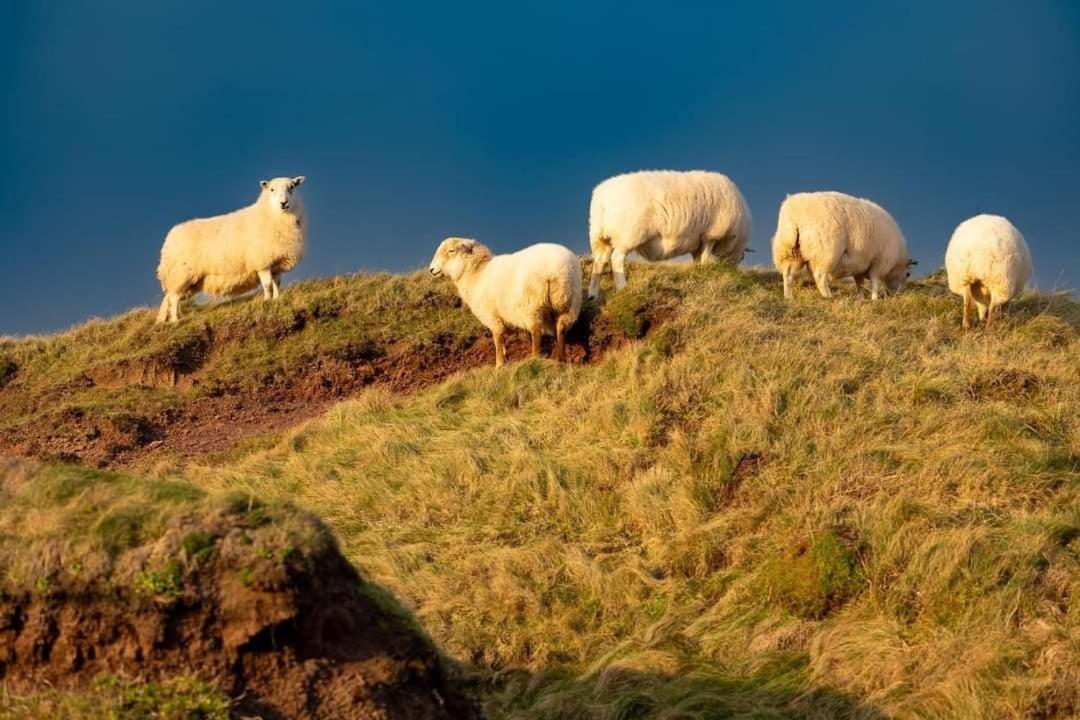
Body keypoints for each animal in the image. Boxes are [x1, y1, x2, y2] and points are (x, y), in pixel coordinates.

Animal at [152, 174, 306, 323]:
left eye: (292, 187)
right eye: (272, 189)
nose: (283, 203)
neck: (271, 216)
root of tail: (168, 240)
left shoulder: (276, 263)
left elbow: (277, 284)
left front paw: (277, 299)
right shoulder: (262, 262)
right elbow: (268, 285)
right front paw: (267, 301)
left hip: (185, 279)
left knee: (169, 297)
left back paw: (164, 320)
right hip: (181, 273)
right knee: (173, 298)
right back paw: (174, 320)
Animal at [427, 239, 583, 369]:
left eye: (451, 251)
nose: (431, 270)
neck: (477, 274)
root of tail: (556, 269)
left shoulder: (492, 316)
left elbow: (497, 338)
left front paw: (499, 365)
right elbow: (503, 339)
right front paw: (505, 357)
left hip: (533, 306)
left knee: (536, 331)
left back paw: (534, 358)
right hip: (568, 303)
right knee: (561, 329)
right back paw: (560, 358)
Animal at [587, 170, 756, 297]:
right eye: (741, 258)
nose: (733, 272)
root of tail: (602, 198)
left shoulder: (698, 240)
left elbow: (698, 258)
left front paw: (699, 272)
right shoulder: (712, 233)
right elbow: (706, 256)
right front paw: (706, 271)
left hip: (601, 238)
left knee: (599, 262)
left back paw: (593, 294)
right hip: (628, 234)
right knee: (616, 259)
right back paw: (623, 287)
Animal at [773, 189, 915, 300]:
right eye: (908, 274)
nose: (897, 295)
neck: (897, 260)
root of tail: (795, 212)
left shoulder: (861, 265)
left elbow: (859, 283)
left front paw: (861, 298)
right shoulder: (879, 263)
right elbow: (874, 282)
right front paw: (874, 299)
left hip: (790, 251)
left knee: (789, 274)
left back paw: (789, 297)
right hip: (826, 252)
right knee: (820, 276)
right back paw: (828, 296)